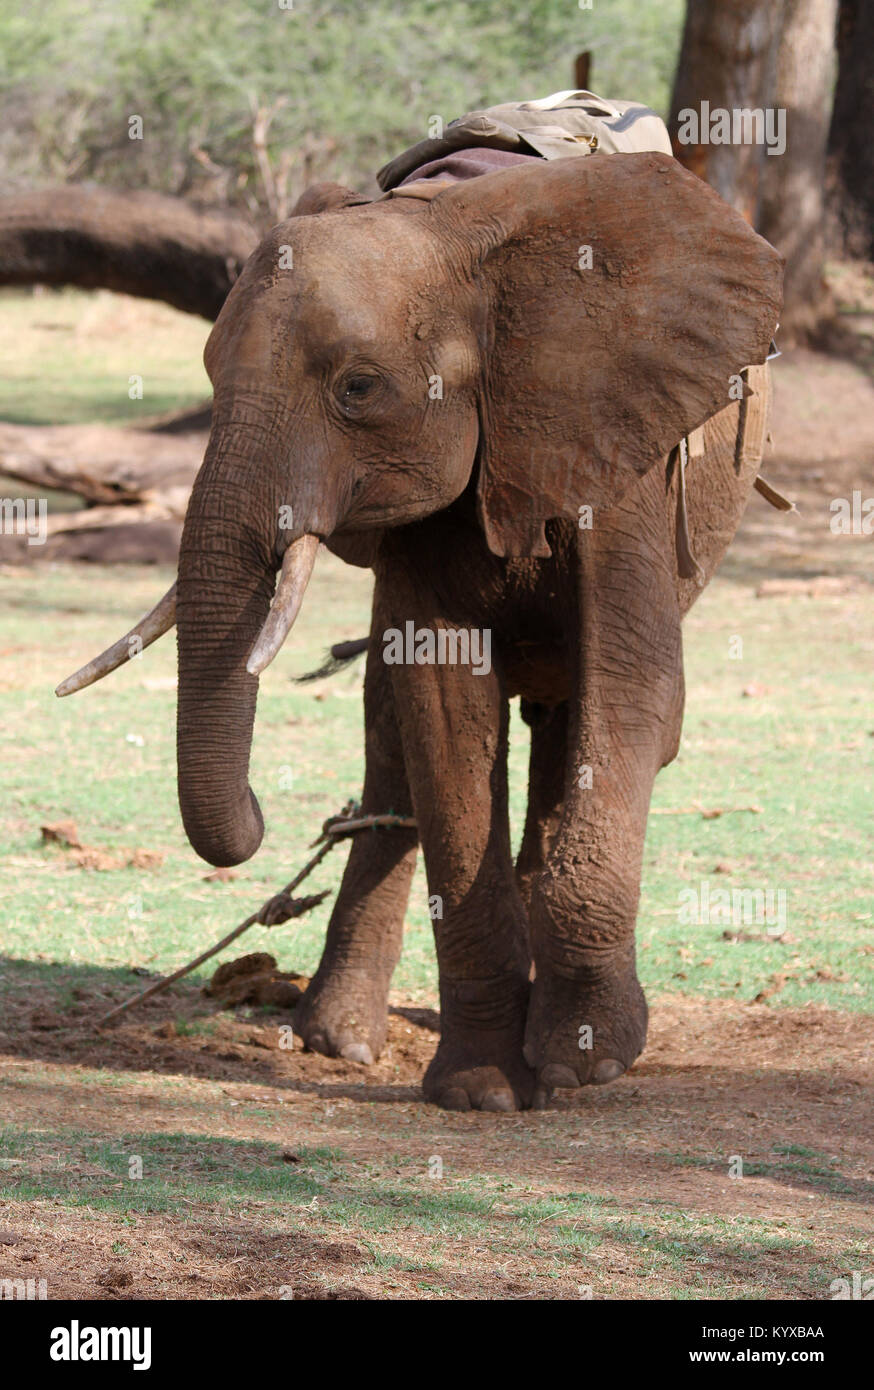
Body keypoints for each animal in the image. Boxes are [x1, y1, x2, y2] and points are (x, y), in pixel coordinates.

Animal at [58, 150, 783, 1111]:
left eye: (358, 389)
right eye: (209, 375)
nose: (257, 814)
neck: (452, 236)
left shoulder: (617, 444)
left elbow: (631, 694)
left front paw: (584, 1061)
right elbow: (442, 710)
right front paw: (481, 1089)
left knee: (568, 726)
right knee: (392, 733)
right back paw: (339, 1039)